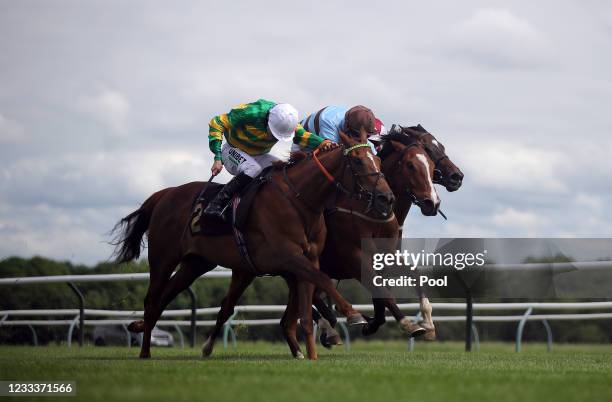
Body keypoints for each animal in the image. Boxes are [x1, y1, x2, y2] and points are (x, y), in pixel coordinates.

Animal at [114, 130, 392, 360]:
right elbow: (323, 281)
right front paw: (353, 313)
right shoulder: (290, 257)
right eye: (358, 161)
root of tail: (164, 194)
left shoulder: (307, 260)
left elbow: (305, 311)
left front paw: (311, 355)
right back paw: (145, 352)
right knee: (152, 302)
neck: (299, 200)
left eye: (379, 162)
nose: (386, 198)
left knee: (165, 298)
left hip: (195, 264)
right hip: (163, 259)